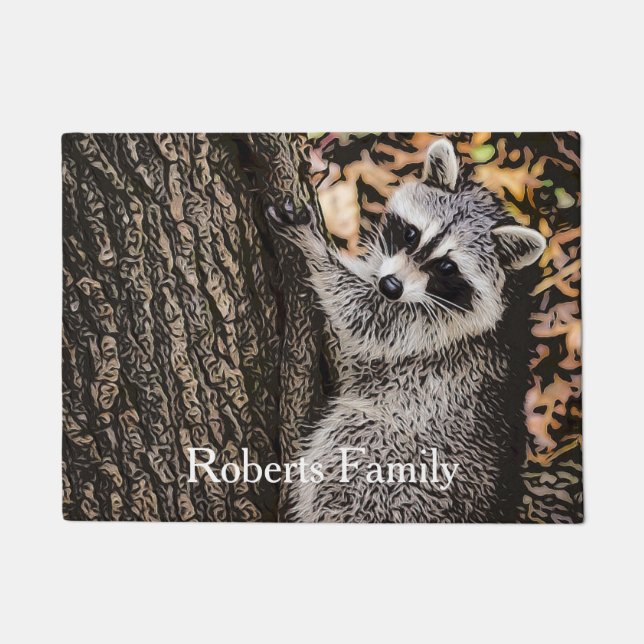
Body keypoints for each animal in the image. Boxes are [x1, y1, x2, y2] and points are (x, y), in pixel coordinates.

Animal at [268, 139, 546, 522]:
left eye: (446, 267)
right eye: (411, 234)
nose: (390, 286)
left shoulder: (436, 331)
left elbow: (365, 317)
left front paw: (315, 248)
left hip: (402, 467)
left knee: (350, 449)